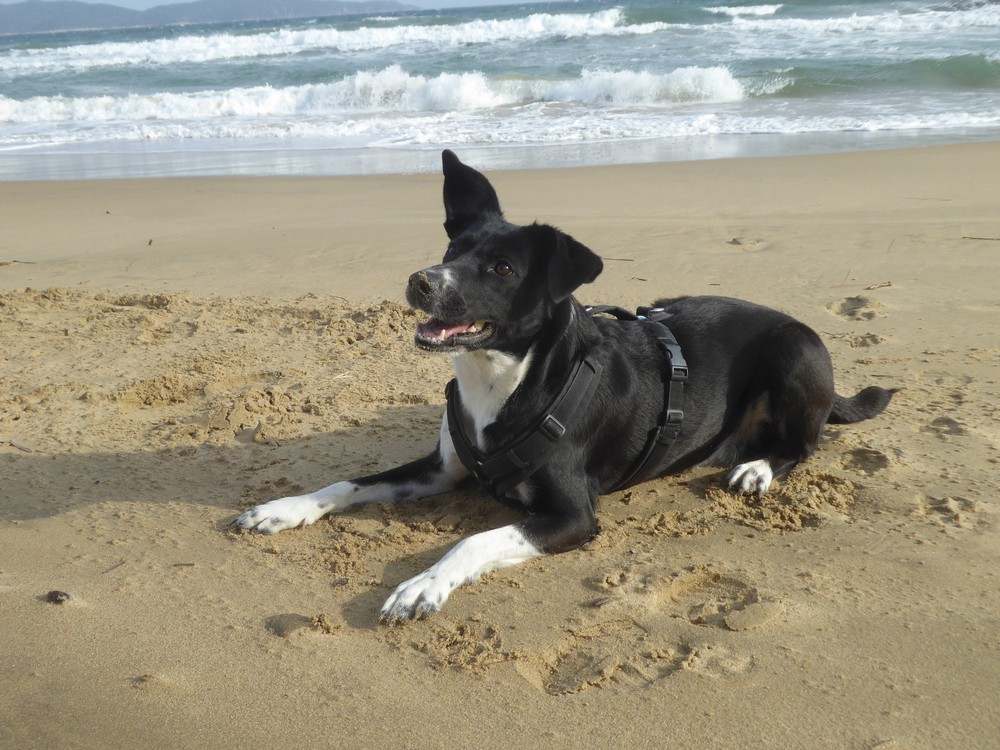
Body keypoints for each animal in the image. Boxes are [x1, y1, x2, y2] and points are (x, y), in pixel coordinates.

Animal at [236, 151, 900, 624]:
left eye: (503, 268)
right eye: (452, 246)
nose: (420, 281)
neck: (501, 377)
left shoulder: (573, 515)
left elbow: (472, 540)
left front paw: (422, 585)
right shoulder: (441, 470)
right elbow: (348, 483)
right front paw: (283, 508)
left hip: (796, 350)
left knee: (804, 444)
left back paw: (758, 467)